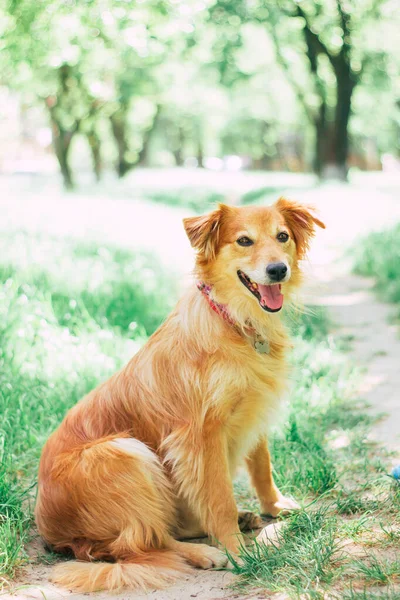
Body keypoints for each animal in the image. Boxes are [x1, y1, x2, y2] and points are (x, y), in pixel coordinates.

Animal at [35, 197, 324, 592]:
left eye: (283, 237)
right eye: (244, 241)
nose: (278, 270)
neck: (235, 320)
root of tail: (53, 533)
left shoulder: (254, 408)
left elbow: (261, 466)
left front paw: (273, 507)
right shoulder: (200, 435)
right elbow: (218, 497)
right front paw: (238, 551)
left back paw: (239, 519)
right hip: (124, 452)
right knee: (141, 541)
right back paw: (204, 552)